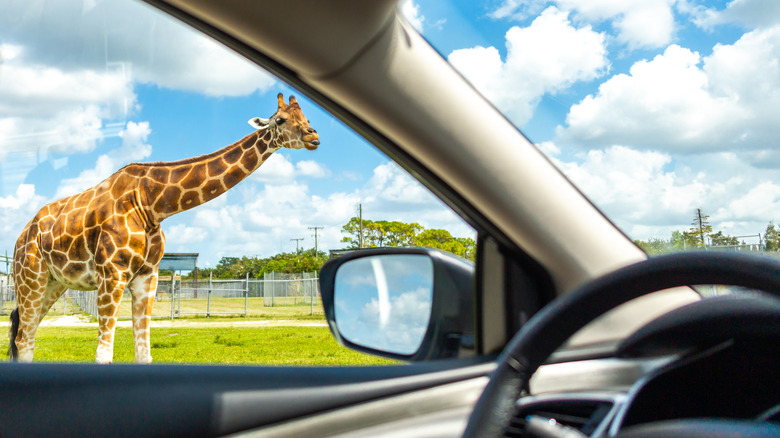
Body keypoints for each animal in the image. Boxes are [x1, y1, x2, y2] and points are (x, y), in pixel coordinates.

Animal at [9, 92, 320, 362]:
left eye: (305, 115)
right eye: (280, 120)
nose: (313, 136)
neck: (152, 204)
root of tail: (22, 235)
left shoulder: (148, 277)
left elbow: (144, 353)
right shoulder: (112, 274)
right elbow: (104, 354)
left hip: (54, 282)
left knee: (25, 331)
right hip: (31, 277)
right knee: (24, 337)